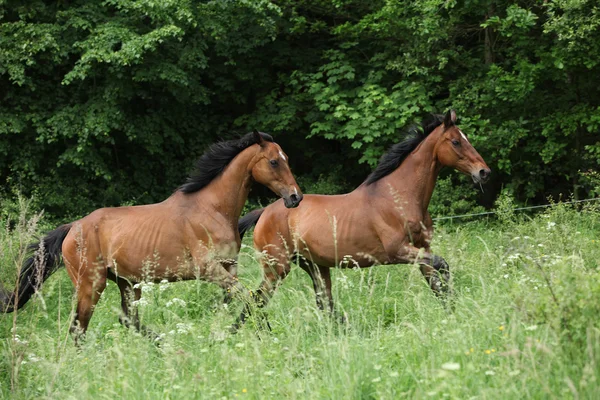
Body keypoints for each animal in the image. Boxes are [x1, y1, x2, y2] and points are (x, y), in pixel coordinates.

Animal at [0, 132, 300, 340]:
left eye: (287, 159)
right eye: (274, 161)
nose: (295, 197)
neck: (212, 208)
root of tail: (71, 228)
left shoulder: (229, 267)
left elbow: (243, 300)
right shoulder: (209, 269)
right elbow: (249, 298)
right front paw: (263, 333)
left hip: (126, 282)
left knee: (127, 319)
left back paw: (162, 343)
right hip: (91, 283)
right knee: (79, 326)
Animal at [232, 111, 490, 330]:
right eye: (456, 142)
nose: (484, 172)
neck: (399, 196)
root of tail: (264, 212)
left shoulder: (421, 248)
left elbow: (437, 283)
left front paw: (454, 315)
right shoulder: (398, 251)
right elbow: (442, 265)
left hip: (314, 266)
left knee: (323, 304)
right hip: (276, 268)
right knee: (255, 300)